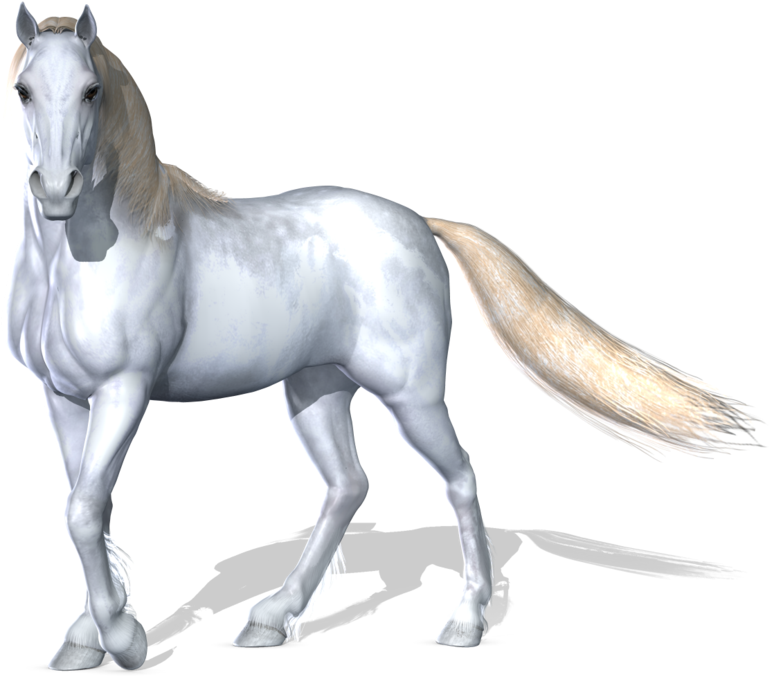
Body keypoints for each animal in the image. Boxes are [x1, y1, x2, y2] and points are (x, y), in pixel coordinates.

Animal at [3, 3, 764, 669]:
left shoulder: (124, 392)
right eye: (24, 89)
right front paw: (85, 640)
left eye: (92, 91)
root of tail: (419, 223)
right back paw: (271, 618)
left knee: (458, 478)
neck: (90, 256)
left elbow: (84, 509)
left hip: (410, 398)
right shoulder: (62, 396)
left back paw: (462, 624)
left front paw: (123, 641)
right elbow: (87, 508)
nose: (57, 190)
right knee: (347, 486)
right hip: (316, 390)